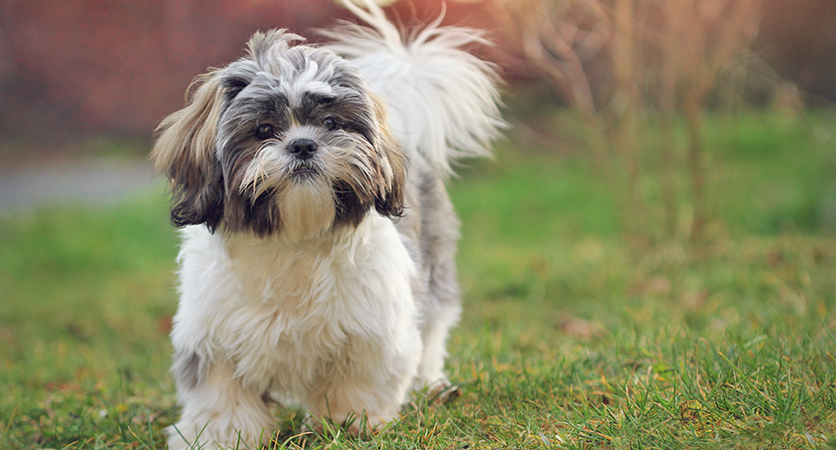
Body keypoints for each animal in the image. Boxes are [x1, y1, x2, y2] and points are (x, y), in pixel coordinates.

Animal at [151, 2, 502, 446]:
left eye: (332, 124)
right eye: (264, 130)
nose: (303, 144)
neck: (294, 239)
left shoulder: (373, 330)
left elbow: (358, 382)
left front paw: (350, 423)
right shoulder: (211, 336)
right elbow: (221, 397)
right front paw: (219, 437)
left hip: (434, 269)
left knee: (434, 328)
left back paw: (431, 384)